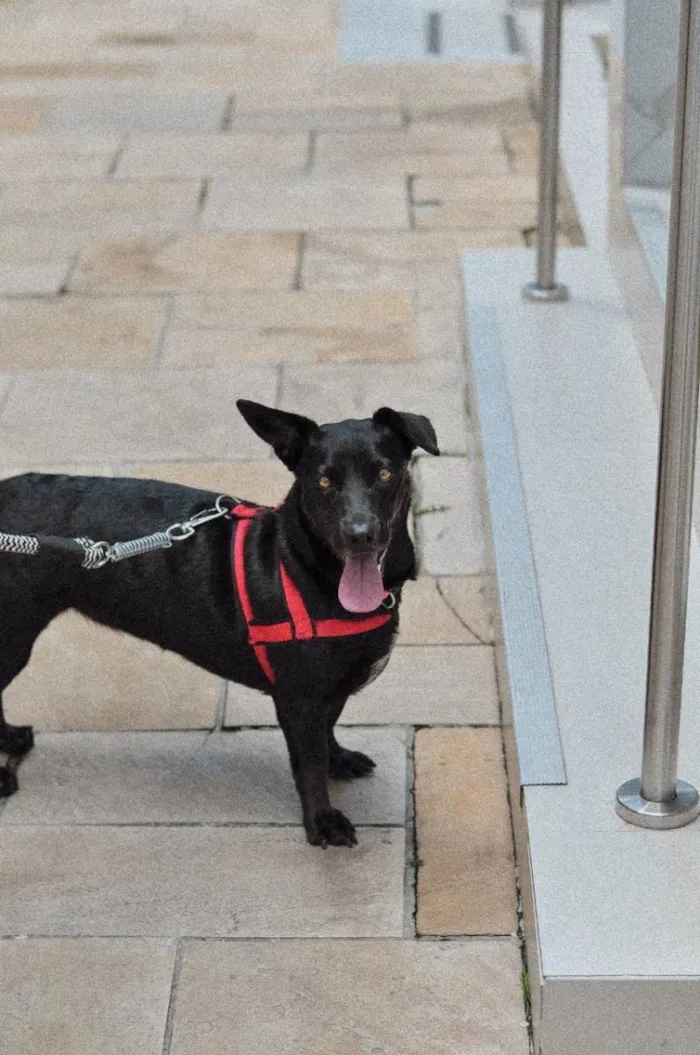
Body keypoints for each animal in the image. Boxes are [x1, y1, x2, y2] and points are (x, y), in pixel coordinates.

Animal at [0, 398, 438, 843]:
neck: (310, 571)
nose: (359, 534)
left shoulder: (328, 692)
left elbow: (327, 731)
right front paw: (321, 821)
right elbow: (309, 764)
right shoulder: (298, 699)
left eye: (384, 473)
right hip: (12, 637)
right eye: (323, 482)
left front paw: (339, 759)